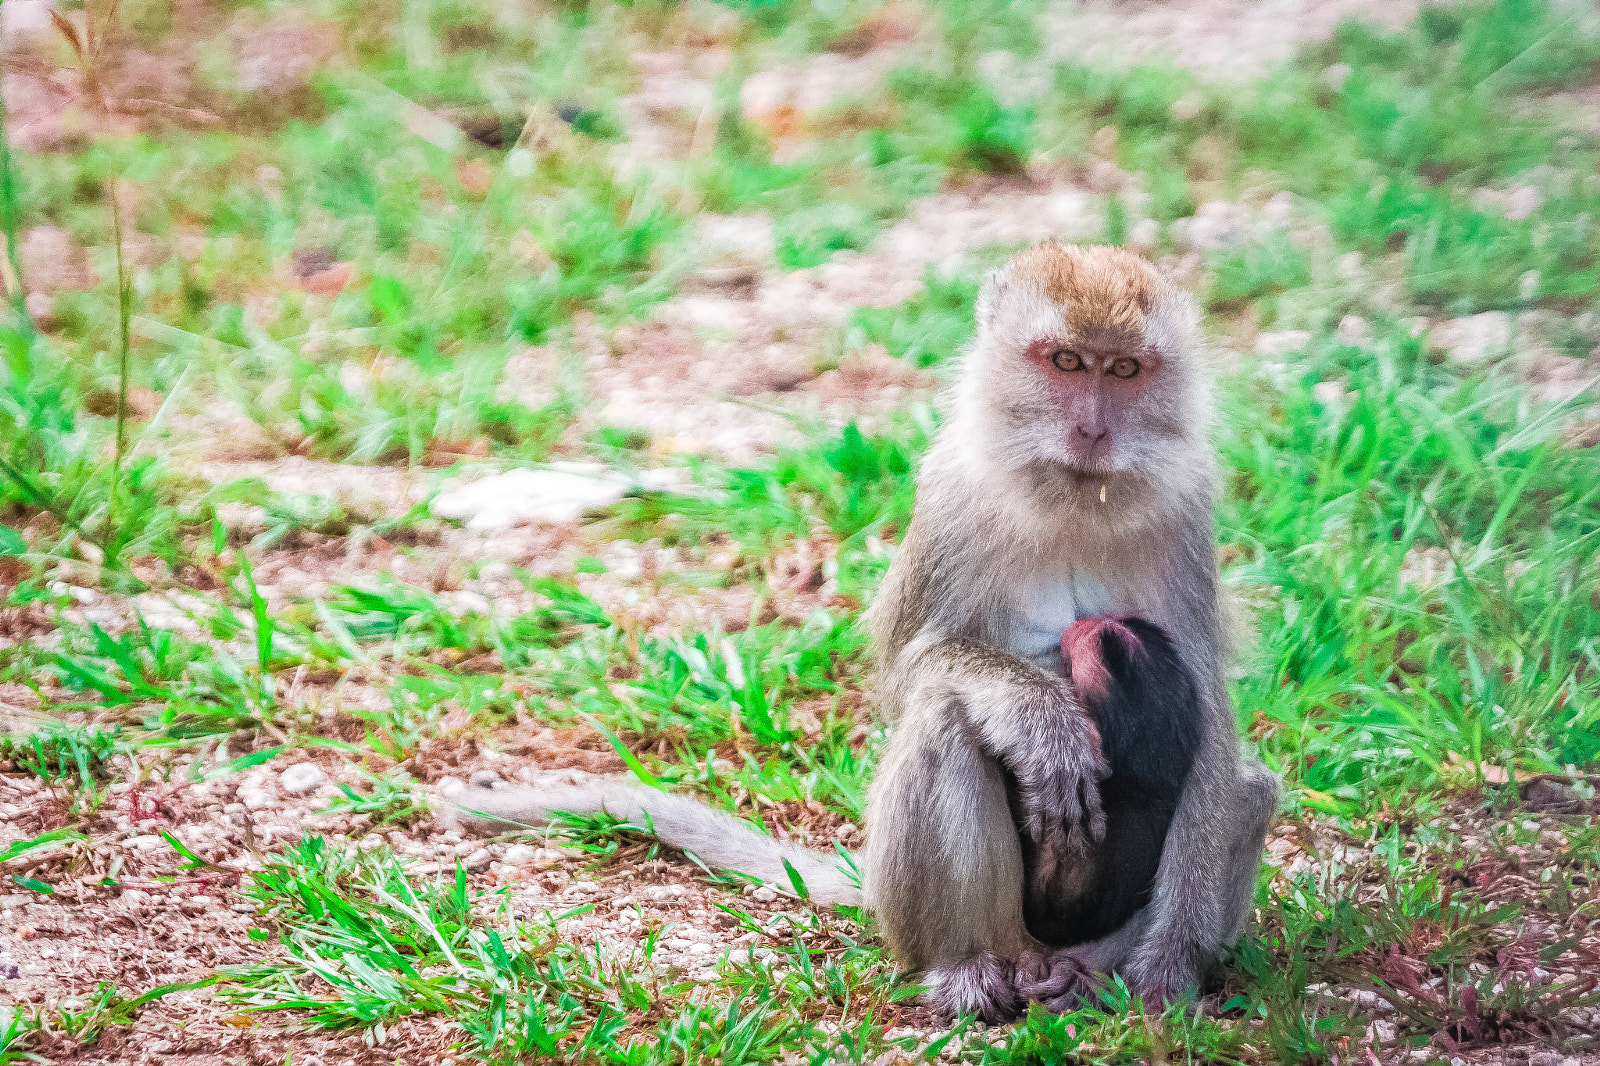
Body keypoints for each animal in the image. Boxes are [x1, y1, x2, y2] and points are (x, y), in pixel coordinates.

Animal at [446, 242, 1280, 1023]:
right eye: (1067, 362)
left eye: (1127, 370)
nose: (1092, 430)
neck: (1075, 496)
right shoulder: (951, 494)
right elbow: (911, 676)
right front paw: (1036, 713)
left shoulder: (1187, 510)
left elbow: (1208, 717)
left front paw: (1169, 966)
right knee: (944, 723)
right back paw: (962, 964)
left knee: (1249, 789)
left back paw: (1097, 972)